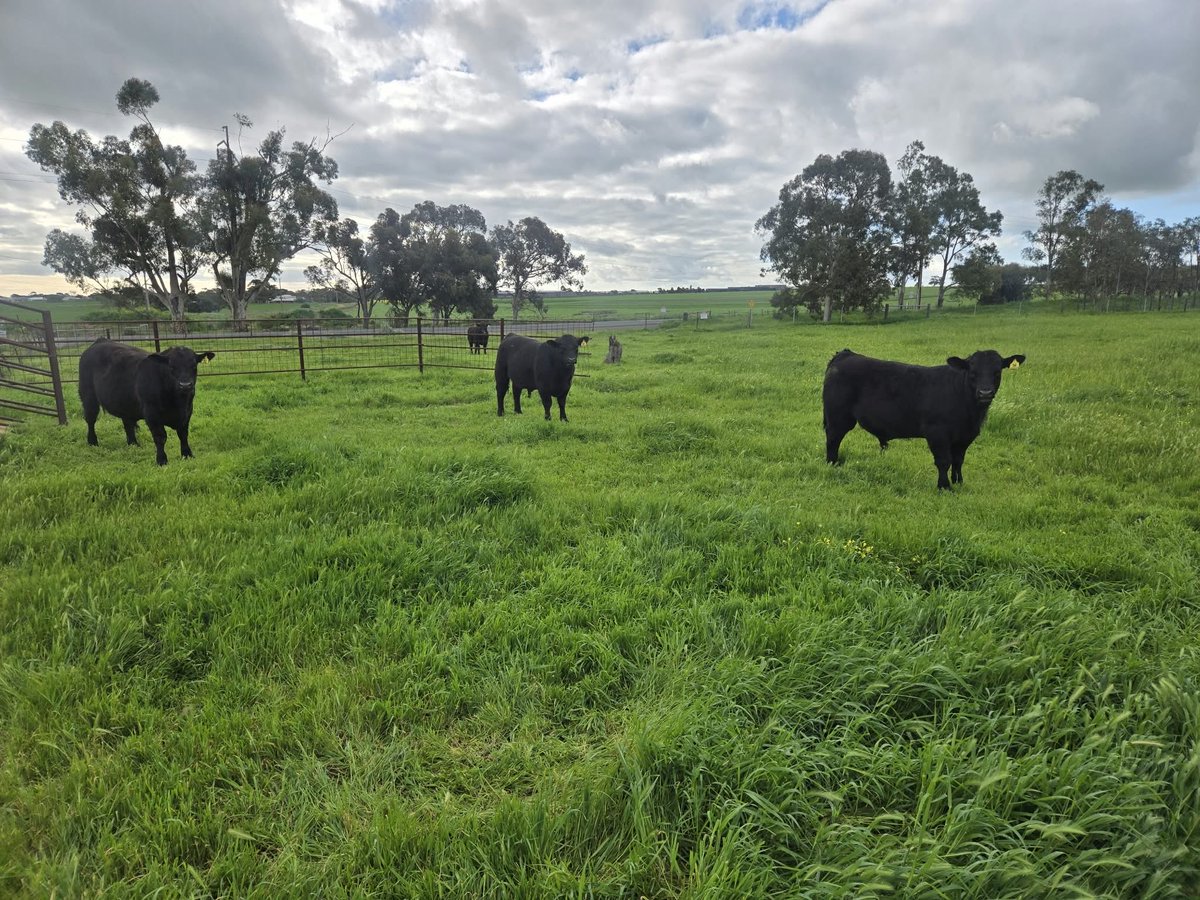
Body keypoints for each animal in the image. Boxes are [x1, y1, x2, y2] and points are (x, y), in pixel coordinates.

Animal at [78, 338, 216, 466]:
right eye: (171, 366)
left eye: (194, 366)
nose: (185, 385)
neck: (177, 401)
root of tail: (100, 341)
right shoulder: (152, 414)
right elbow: (160, 437)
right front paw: (161, 460)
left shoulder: (187, 411)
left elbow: (183, 434)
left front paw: (187, 455)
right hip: (88, 396)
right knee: (90, 419)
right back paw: (92, 442)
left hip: (125, 402)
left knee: (127, 423)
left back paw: (133, 444)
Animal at [822, 348, 1025, 490]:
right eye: (972, 371)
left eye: (997, 371)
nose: (985, 393)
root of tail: (846, 354)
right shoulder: (937, 433)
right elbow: (944, 461)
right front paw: (944, 487)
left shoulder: (965, 436)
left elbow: (958, 460)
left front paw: (958, 482)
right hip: (838, 417)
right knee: (833, 440)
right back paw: (833, 465)